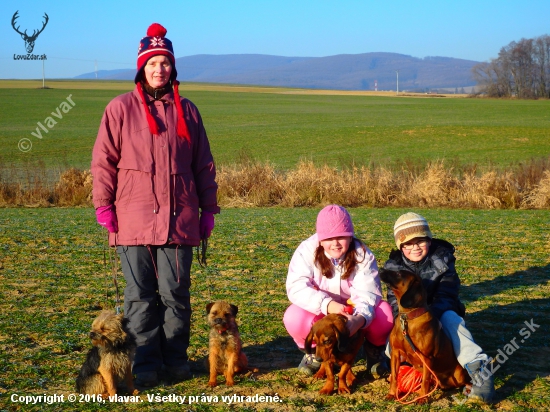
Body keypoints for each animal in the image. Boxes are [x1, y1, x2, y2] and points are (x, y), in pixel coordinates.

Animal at [382, 268, 472, 404]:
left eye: (399, 273)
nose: (381, 269)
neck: (408, 318)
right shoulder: (396, 353)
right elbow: (394, 377)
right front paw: (392, 394)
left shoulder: (427, 358)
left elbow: (425, 380)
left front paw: (423, 398)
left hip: (459, 374)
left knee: (466, 381)